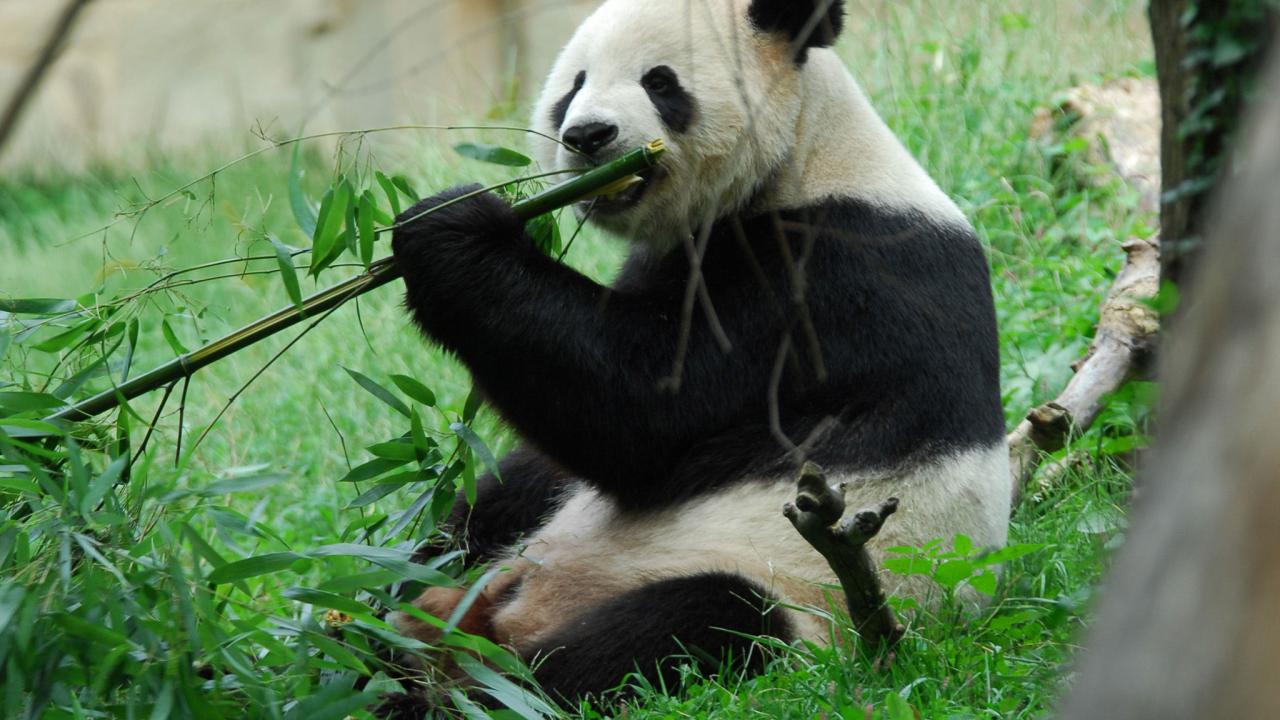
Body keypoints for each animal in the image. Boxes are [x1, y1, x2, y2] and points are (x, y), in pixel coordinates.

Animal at [388, 0, 1009, 704]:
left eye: (660, 82)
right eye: (574, 85)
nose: (587, 136)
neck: (808, 155)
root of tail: (504, 614)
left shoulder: (835, 282)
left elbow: (641, 414)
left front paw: (450, 231)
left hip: (796, 597)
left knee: (684, 628)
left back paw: (446, 693)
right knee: (496, 500)